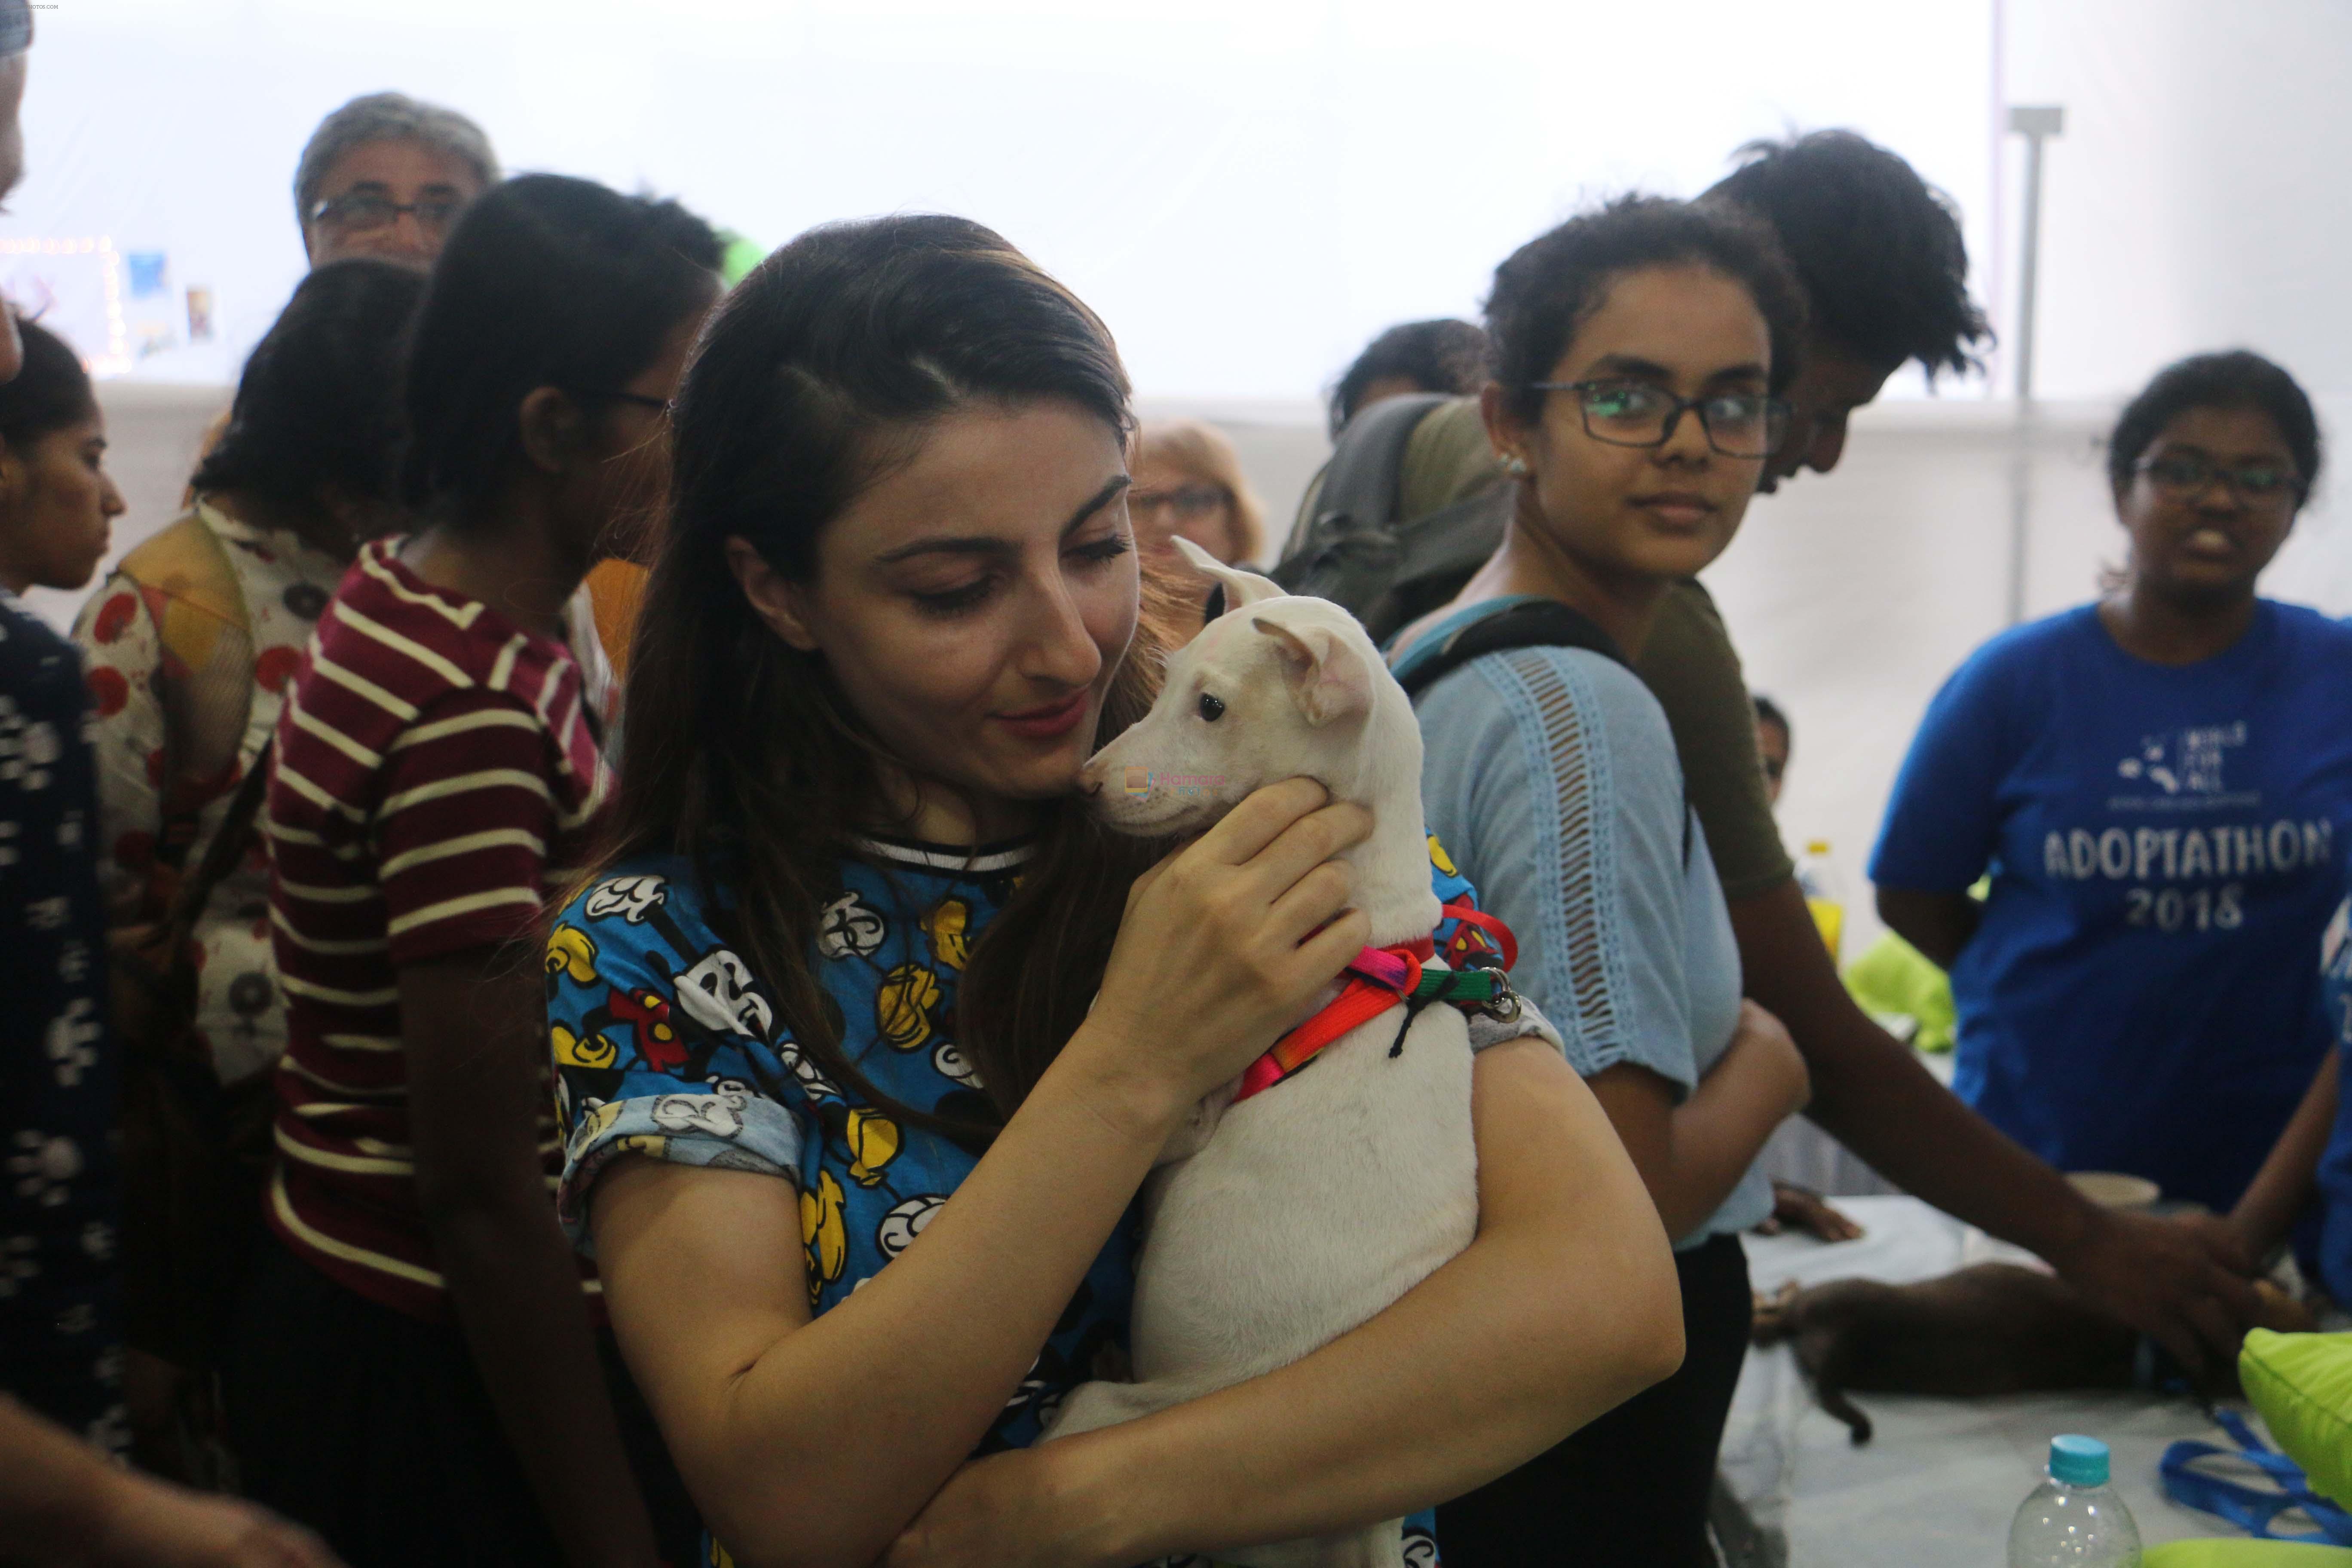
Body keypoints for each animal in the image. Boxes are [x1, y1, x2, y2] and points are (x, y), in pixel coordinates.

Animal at [1058, 540, 1477, 1568]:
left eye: (1210, 708)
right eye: (1169, 681)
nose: (1083, 785)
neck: (1362, 934)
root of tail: (1352, 1523)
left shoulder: (1185, 1111)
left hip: (1105, 1410)